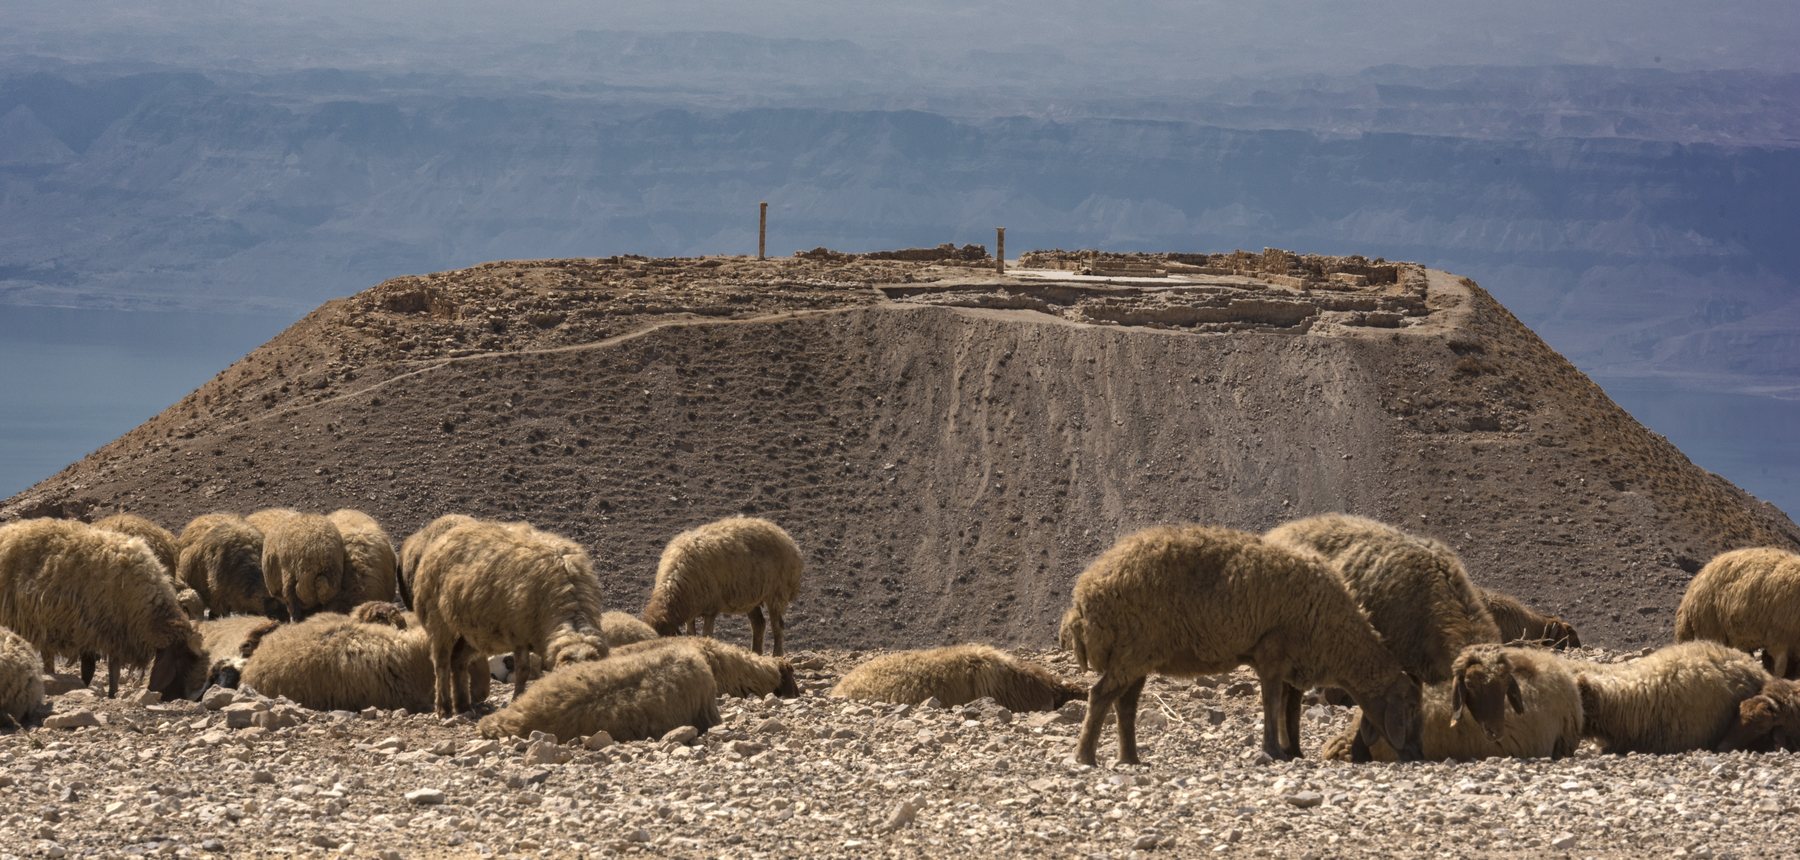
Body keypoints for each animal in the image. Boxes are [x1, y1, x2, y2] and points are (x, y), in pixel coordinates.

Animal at [0, 518, 209, 700]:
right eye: (184, 663)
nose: (191, 698)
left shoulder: (115, 634)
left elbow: (112, 670)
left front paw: (112, 693)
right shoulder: (92, 630)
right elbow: (90, 669)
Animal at [412, 520, 608, 715]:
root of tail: (445, 537)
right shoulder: (519, 636)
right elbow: (522, 672)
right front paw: (517, 699)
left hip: (473, 631)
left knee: (458, 661)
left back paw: (462, 706)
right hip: (438, 621)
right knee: (441, 664)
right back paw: (443, 708)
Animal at [642, 516, 803, 656]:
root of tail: (786, 537)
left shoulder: (711, 609)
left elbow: (706, 635)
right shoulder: (691, 610)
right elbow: (691, 634)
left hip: (777, 592)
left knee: (777, 625)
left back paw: (777, 654)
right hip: (751, 598)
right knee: (759, 624)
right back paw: (756, 653)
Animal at [1062, 525, 1423, 766]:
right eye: (1410, 707)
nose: (1417, 755)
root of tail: (1081, 600)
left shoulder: (1294, 665)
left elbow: (1290, 710)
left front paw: (1293, 751)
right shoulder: (1271, 654)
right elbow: (1272, 704)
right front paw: (1274, 750)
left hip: (1138, 656)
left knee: (1125, 705)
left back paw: (1130, 759)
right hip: (1131, 651)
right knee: (1100, 695)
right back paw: (1086, 757)